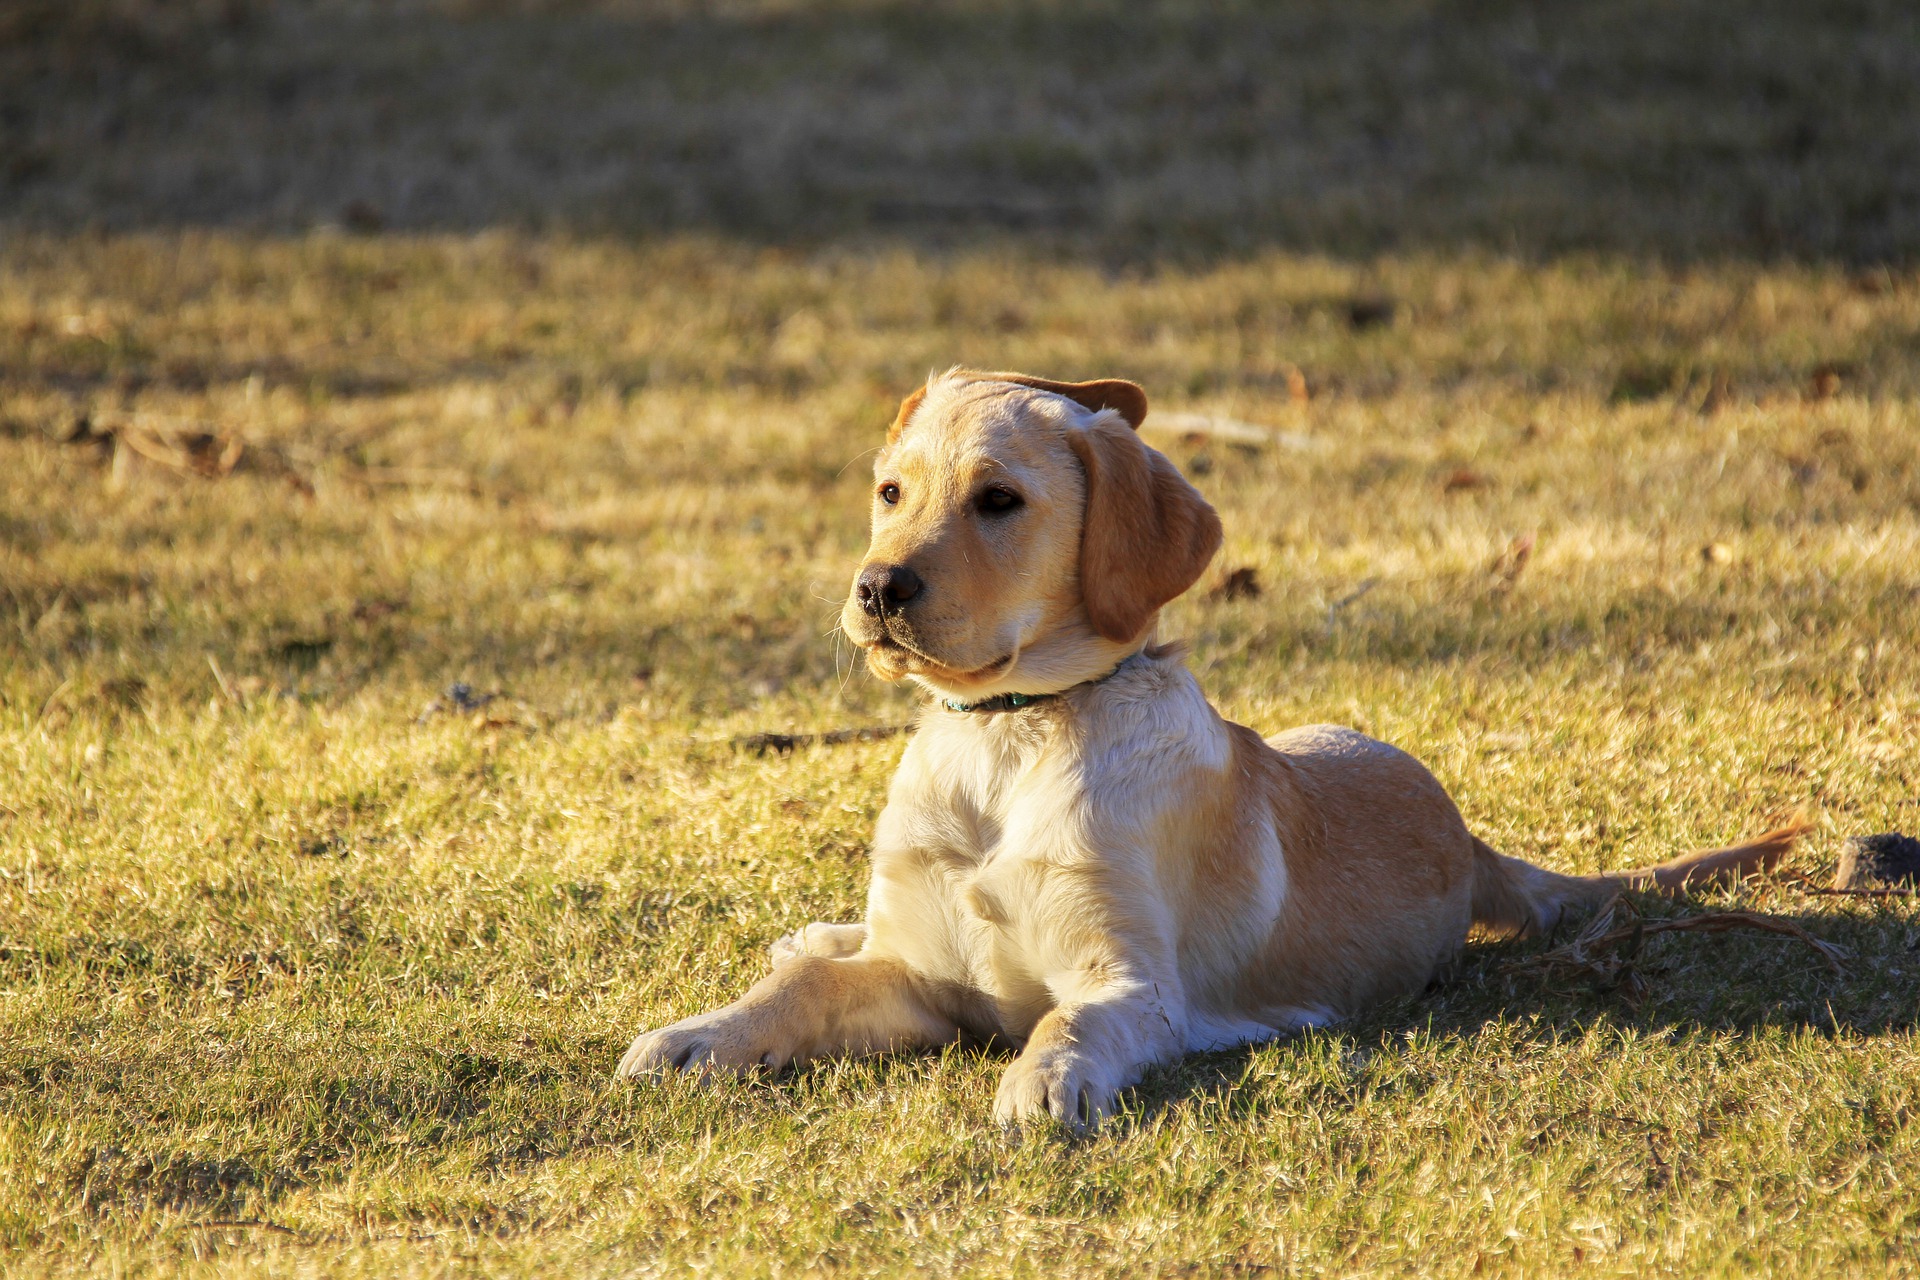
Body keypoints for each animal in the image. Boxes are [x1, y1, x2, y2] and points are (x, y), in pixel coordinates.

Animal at [622, 364, 1804, 1128]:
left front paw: (1040, 1083)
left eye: (999, 500)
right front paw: (696, 1035)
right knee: (825, 947)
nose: (876, 588)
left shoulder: (1132, 985)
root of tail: (1470, 842)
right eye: (889, 491)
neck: (1009, 738)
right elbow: (798, 997)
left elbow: (1068, 1025)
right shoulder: (913, 973)